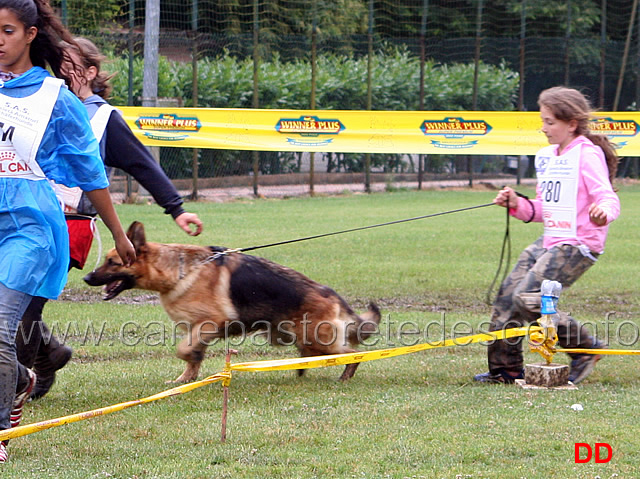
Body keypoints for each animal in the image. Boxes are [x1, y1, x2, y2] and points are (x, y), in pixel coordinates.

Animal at [84, 223, 380, 384]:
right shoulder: (196, 329)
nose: (86, 277)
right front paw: (185, 380)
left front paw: (188, 368)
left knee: (353, 353)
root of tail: (332, 294)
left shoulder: (210, 323)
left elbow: (184, 350)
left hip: (318, 338)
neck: (178, 270)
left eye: (112, 262)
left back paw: (344, 375)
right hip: (301, 339)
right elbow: (192, 358)